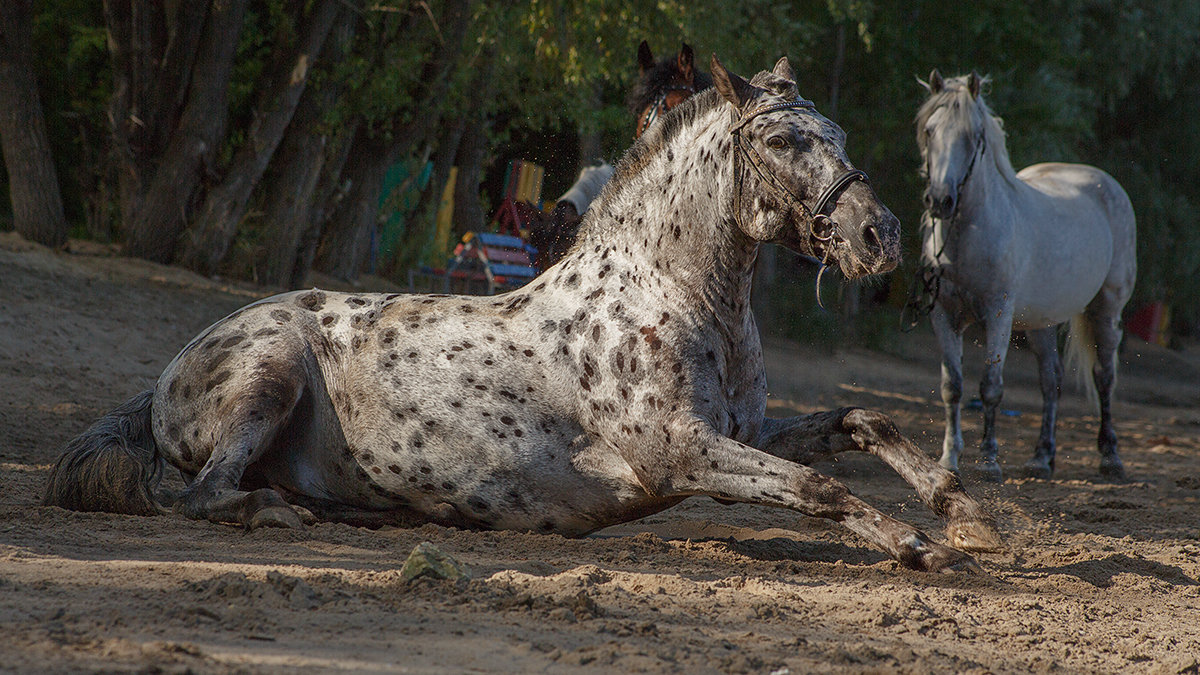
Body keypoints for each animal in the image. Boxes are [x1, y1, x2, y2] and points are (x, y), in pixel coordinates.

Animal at [44, 59, 1003, 571]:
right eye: (781, 140)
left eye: (835, 135)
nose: (880, 236)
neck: (672, 296)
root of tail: (164, 377)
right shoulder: (681, 453)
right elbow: (821, 487)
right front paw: (924, 546)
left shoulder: (744, 430)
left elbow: (863, 421)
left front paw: (967, 511)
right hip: (268, 373)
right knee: (199, 494)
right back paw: (280, 517)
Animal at [912, 70, 1137, 480]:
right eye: (930, 131)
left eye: (973, 136)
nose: (940, 200)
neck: (966, 237)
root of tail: (1102, 181)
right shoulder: (944, 316)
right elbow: (952, 386)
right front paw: (949, 459)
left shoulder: (998, 314)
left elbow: (990, 387)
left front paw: (989, 462)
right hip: (1041, 322)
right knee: (1051, 380)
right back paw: (1042, 457)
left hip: (1106, 309)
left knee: (1104, 376)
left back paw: (1110, 457)